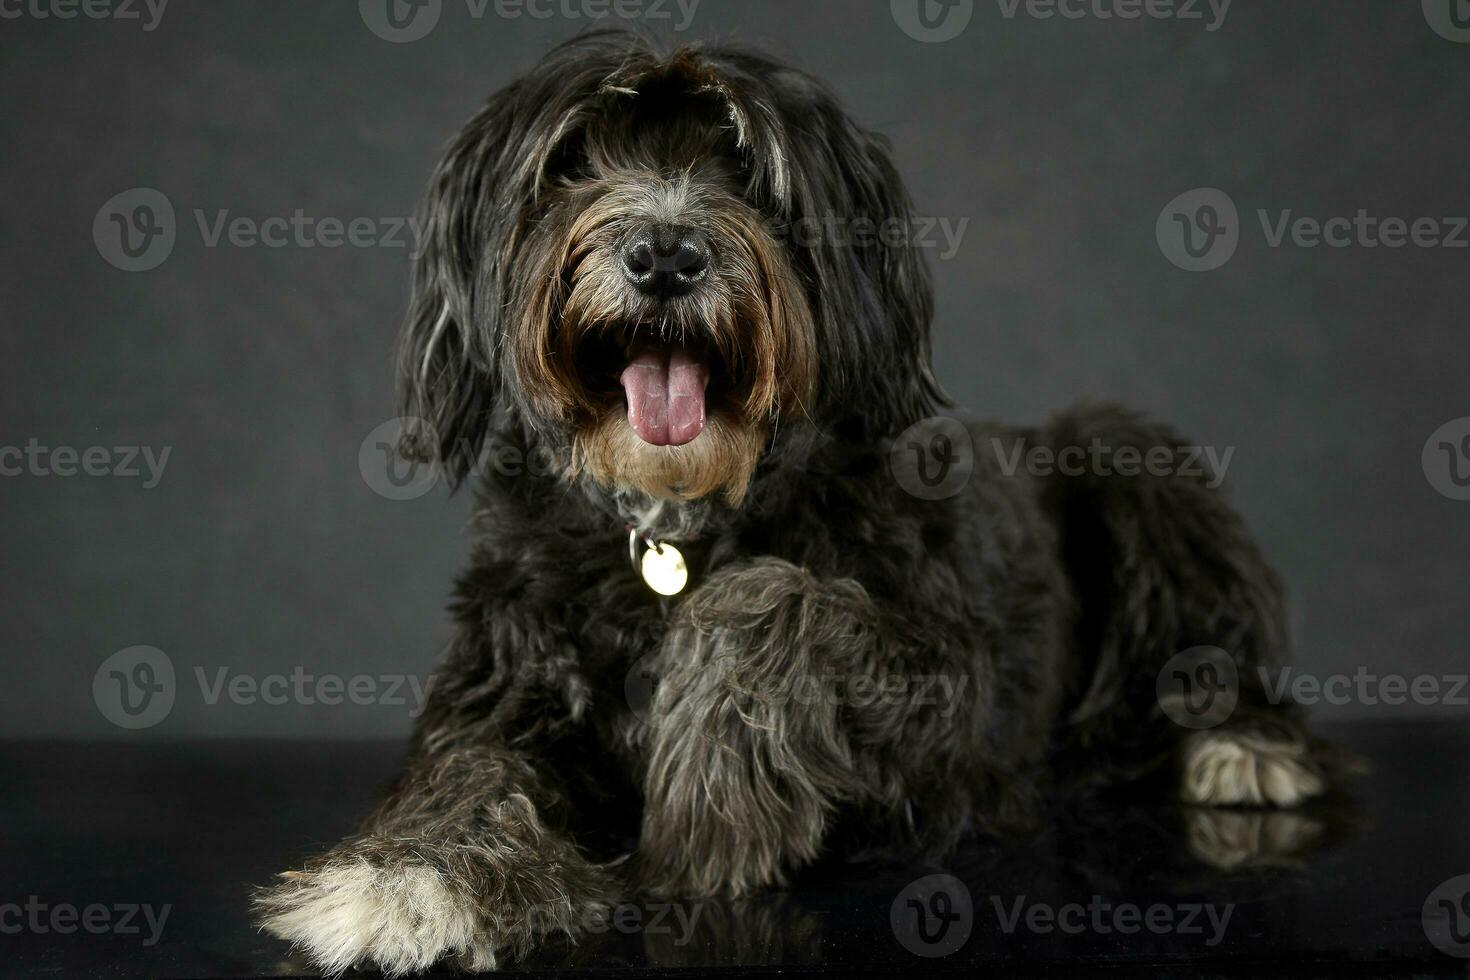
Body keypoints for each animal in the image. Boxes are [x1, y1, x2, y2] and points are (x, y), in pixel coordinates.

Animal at [255, 28, 1346, 975]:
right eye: (570, 162)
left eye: (743, 164)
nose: (664, 253)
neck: (677, 521)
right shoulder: (503, 678)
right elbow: (468, 768)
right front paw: (409, 875)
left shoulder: (960, 711)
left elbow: (782, 600)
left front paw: (711, 784)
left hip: (1131, 457)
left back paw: (1244, 746)